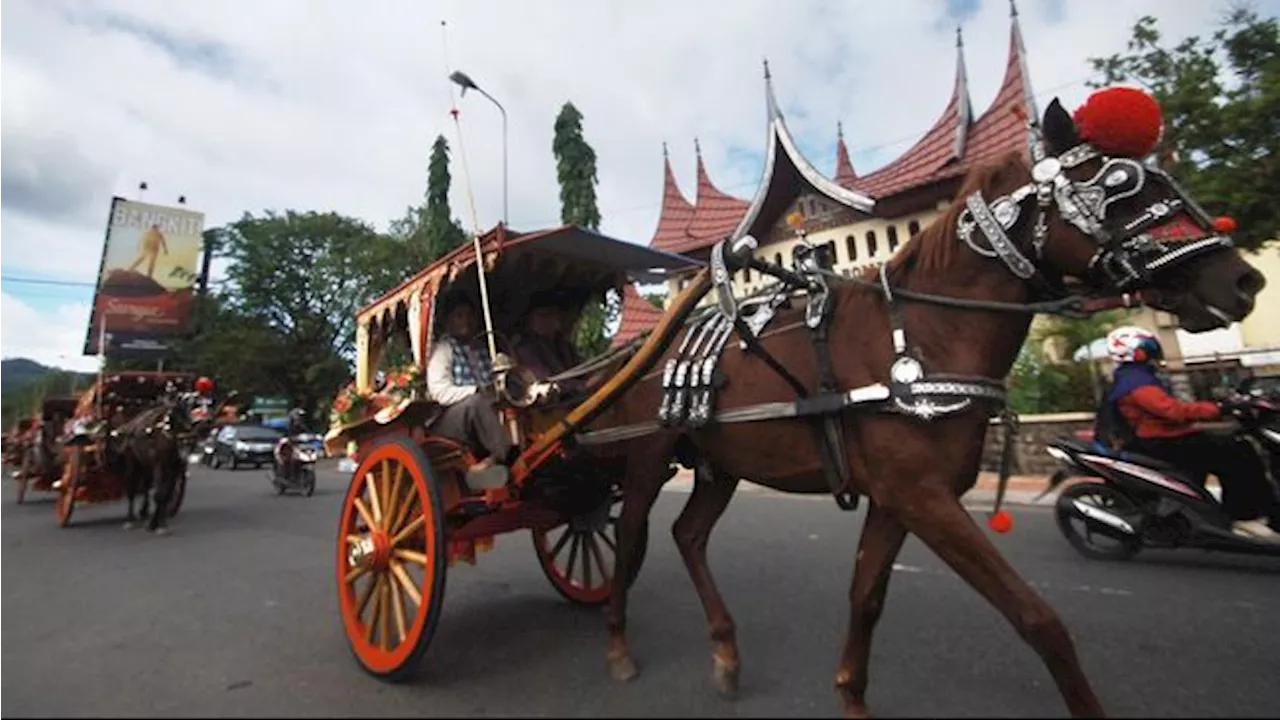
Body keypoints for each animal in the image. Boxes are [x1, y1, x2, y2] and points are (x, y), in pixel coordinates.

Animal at [591, 92, 1269, 712]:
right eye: (1120, 183)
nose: (1243, 280)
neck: (925, 330)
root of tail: (639, 352)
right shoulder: (924, 497)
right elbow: (1037, 618)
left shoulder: (898, 498)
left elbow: (866, 598)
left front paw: (851, 696)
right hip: (647, 457)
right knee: (628, 537)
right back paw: (618, 645)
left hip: (719, 464)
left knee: (687, 535)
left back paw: (726, 650)